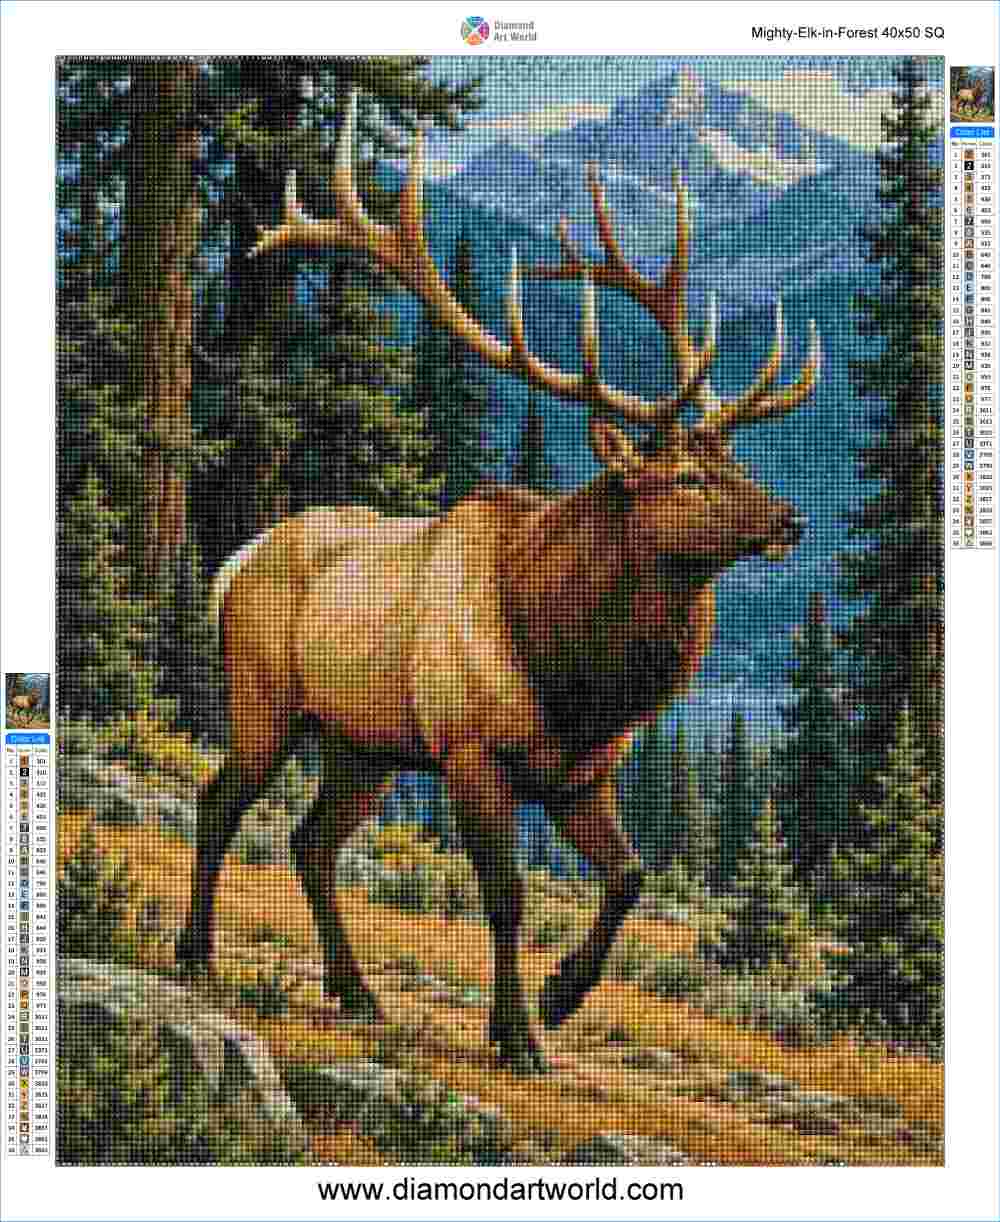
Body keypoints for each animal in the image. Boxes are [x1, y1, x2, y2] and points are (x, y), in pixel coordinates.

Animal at [176, 90, 821, 1073]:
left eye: (735, 461)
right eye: (685, 477)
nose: (790, 521)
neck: (573, 673)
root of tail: (231, 564)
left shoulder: (583, 773)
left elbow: (631, 875)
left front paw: (560, 997)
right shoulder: (472, 751)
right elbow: (509, 895)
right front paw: (517, 1034)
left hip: (364, 743)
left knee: (310, 841)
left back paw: (357, 992)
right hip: (266, 700)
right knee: (220, 805)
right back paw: (197, 954)